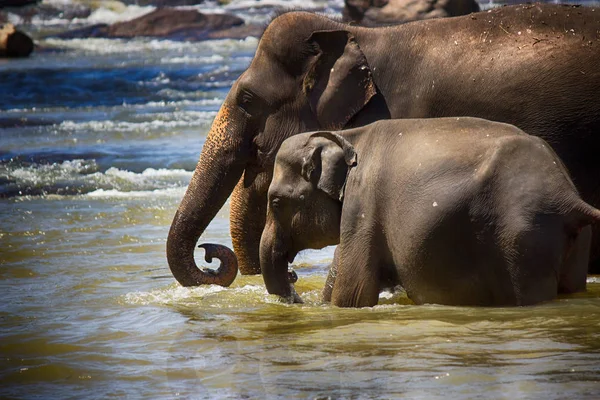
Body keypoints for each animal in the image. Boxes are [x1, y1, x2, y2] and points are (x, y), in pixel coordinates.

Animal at [258, 118, 600, 306]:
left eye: (275, 202)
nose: (294, 277)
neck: (349, 134)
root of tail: (567, 196)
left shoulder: (363, 205)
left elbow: (352, 295)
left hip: (524, 236)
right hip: (573, 239)